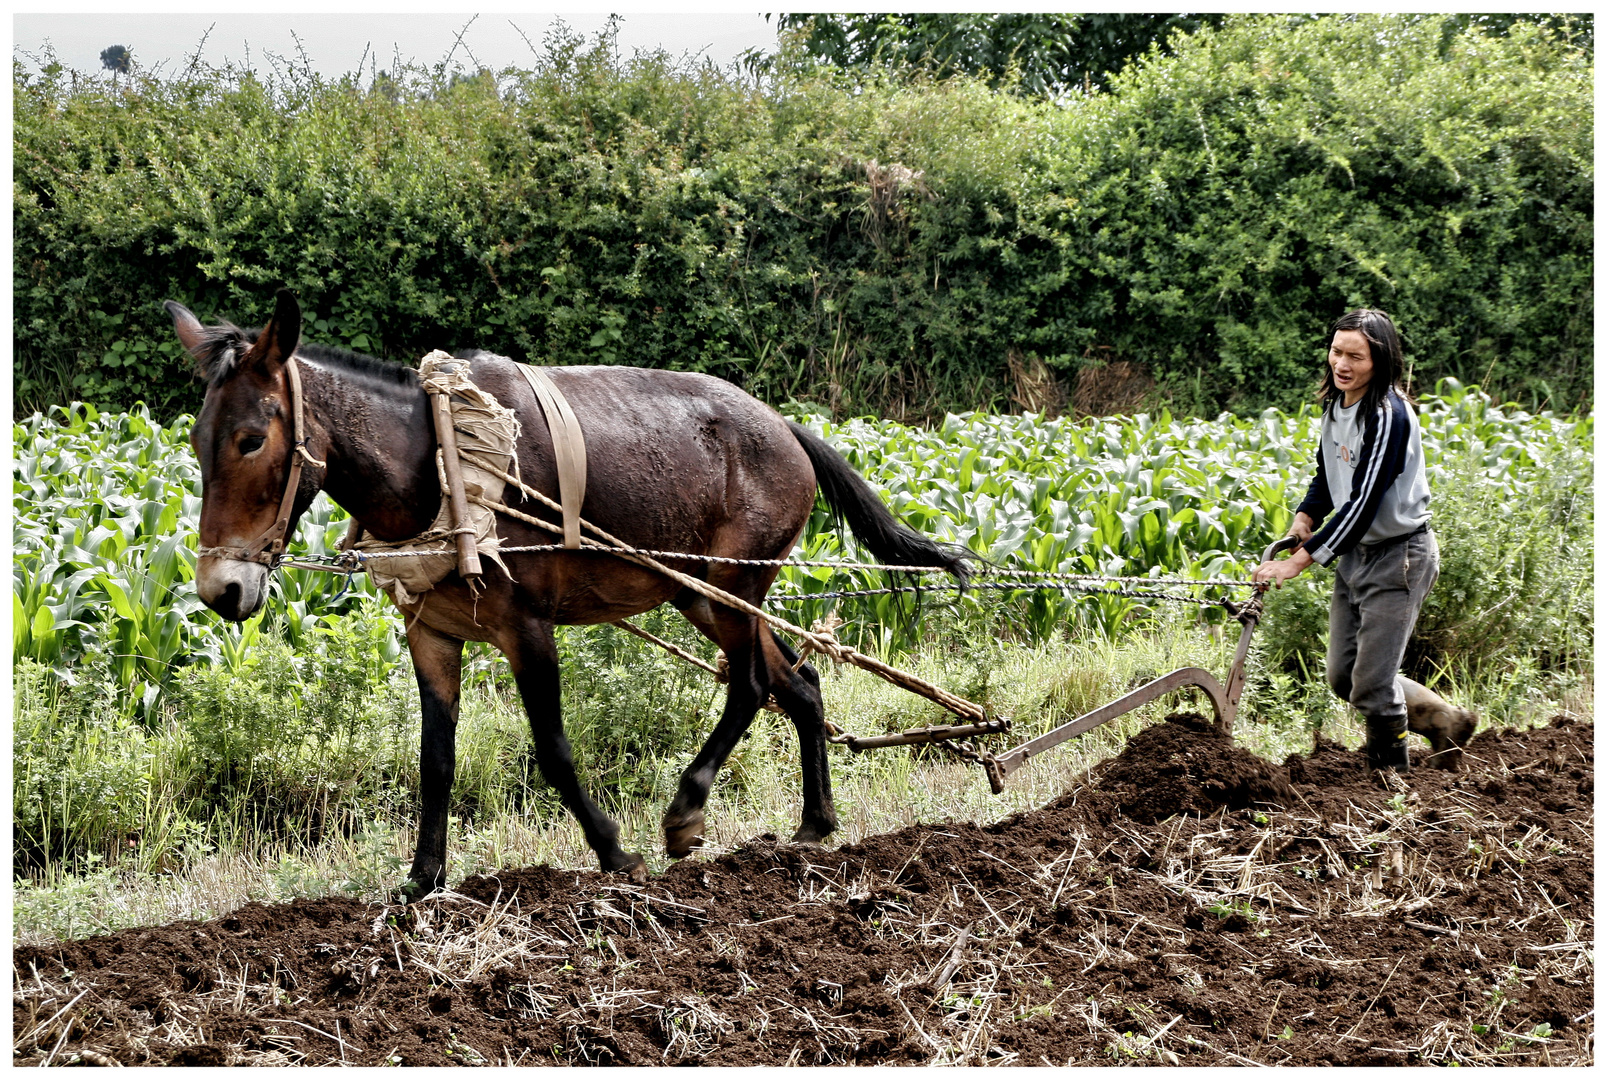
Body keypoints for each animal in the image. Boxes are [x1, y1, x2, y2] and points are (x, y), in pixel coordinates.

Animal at [166, 290, 964, 900]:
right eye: (197, 441)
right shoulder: (431, 632)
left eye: (250, 439)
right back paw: (813, 825)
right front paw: (422, 880)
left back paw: (687, 810)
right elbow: (435, 759)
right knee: (799, 683)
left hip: (733, 582)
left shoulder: (528, 626)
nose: (219, 591)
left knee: (752, 684)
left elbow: (551, 748)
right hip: (701, 595)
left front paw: (613, 850)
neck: (442, 464)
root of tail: (785, 426)